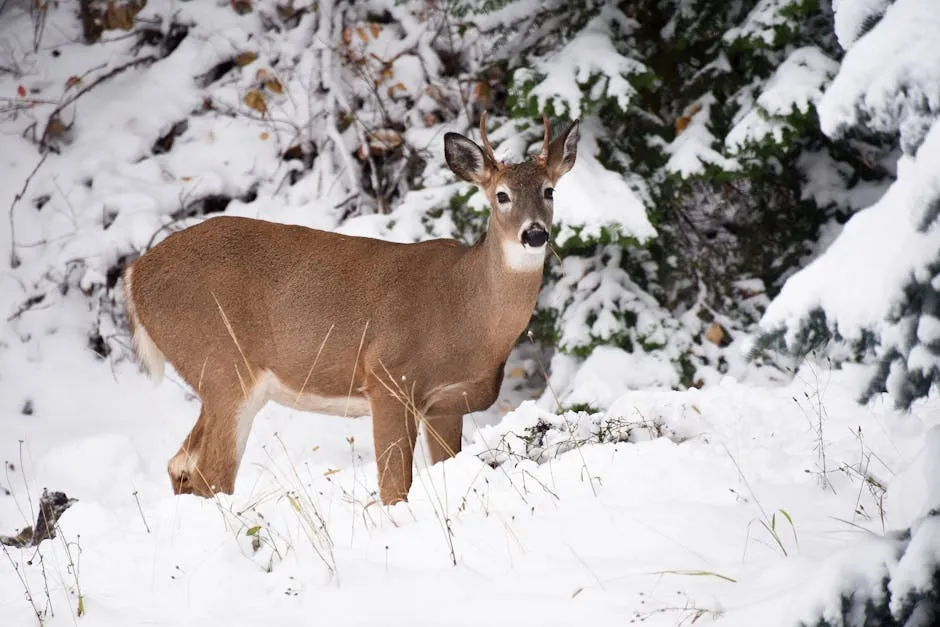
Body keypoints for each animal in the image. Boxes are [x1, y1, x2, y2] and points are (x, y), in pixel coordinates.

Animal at [123, 111, 580, 506]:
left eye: (549, 191)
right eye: (501, 195)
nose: (535, 234)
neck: (466, 312)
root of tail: (134, 275)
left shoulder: (445, 404)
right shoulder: (388, 377)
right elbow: (394, 489)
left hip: (216, 379)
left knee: (181, 464)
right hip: (223, 365)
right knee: (212, 474)